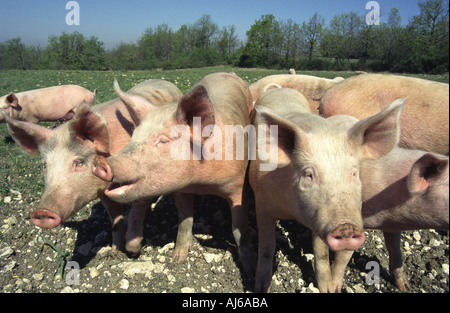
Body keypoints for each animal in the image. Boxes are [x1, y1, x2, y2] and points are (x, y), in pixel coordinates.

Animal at [2, 78, 181, 256]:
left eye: (78, 162)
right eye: (45, 165)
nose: (42, 212)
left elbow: (136, 212)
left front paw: (132, 251)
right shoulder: (101, 190)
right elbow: (114, 218)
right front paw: (114, 253)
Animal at [90, 72, 256, 274]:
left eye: (163, 140)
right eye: (133, 136)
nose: (100, 162)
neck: (201, 183)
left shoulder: (239, 186)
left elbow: (238, 228)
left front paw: (249, 267)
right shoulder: (181, 190)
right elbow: (185, 220)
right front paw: (178, 259)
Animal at [250, 86, 404, 292]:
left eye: (354, 173)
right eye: (309, 174)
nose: (347, 227)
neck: (292, 211)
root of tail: (280, 88)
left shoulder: (318, 217)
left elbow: (321, 252)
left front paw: (329, 289)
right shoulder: (262, 205)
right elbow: (267, 247)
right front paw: (259, 287)